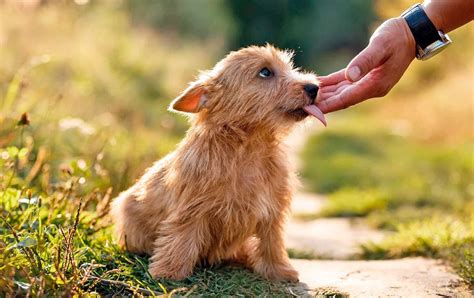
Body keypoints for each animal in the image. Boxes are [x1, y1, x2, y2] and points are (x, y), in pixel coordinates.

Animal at [111, 44, 326, 282]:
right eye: (265, 72)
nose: (314, 87)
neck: (249, 148)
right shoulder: (191, 209)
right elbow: (181, 240)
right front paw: (169, 272)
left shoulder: (271, 210)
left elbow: (272, 243)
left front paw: (279, 270)